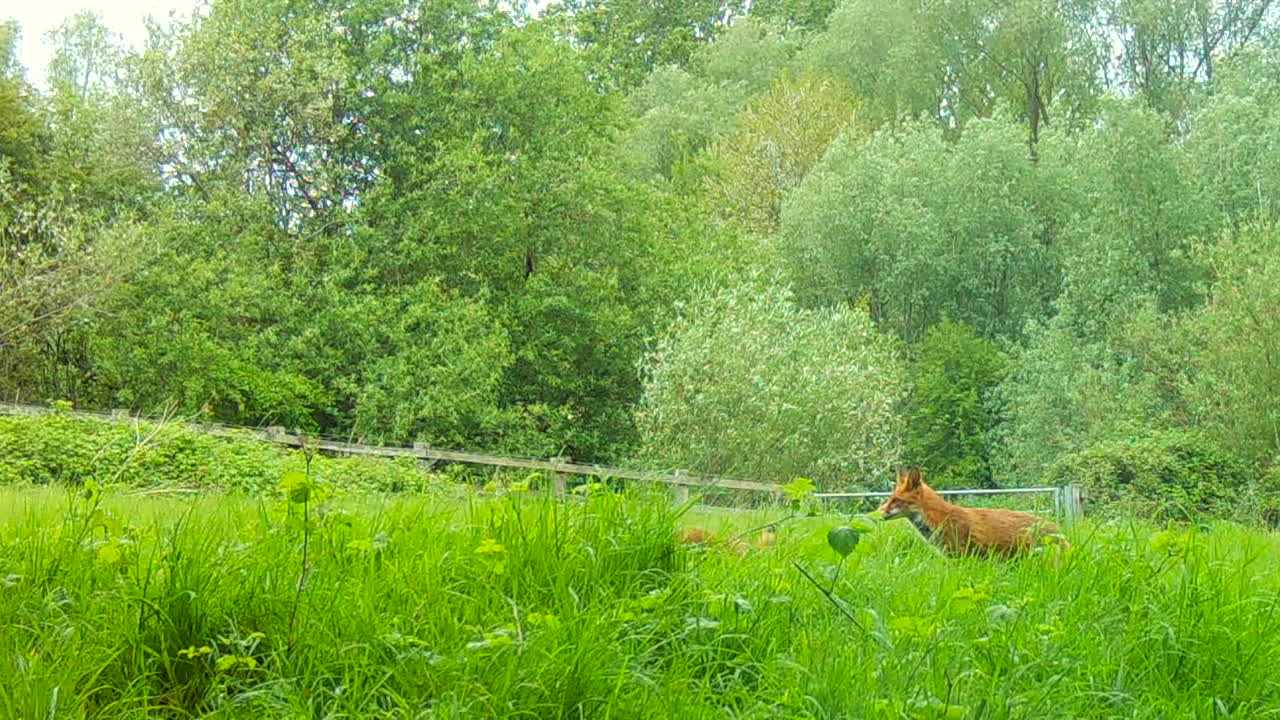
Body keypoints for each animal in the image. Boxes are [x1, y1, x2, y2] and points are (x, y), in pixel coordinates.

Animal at [877, 468, 1068, 558]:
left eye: (896, 500)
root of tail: (1059, 531)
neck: (940, 519)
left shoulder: (962, 556)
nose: (877, 514)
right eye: (889, 498)